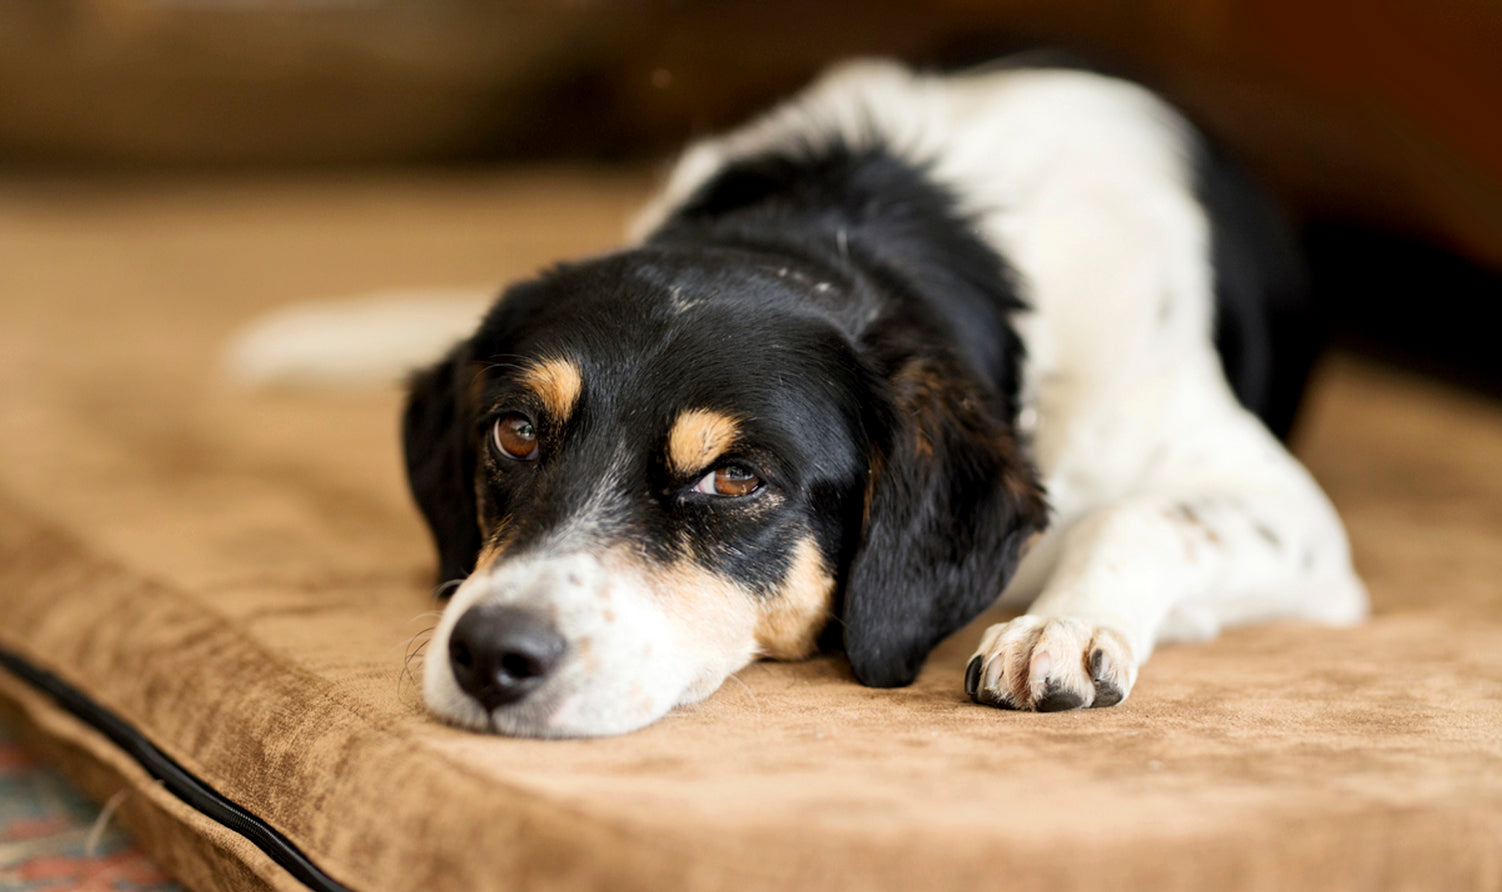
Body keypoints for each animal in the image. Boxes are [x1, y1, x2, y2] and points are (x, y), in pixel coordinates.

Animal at [240, 58, 1369, 732]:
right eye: (516, 432)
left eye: (736, 479)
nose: (489, 654)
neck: (846, 226)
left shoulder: (1293, 517)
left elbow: (1139, 516)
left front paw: (1060, 627)